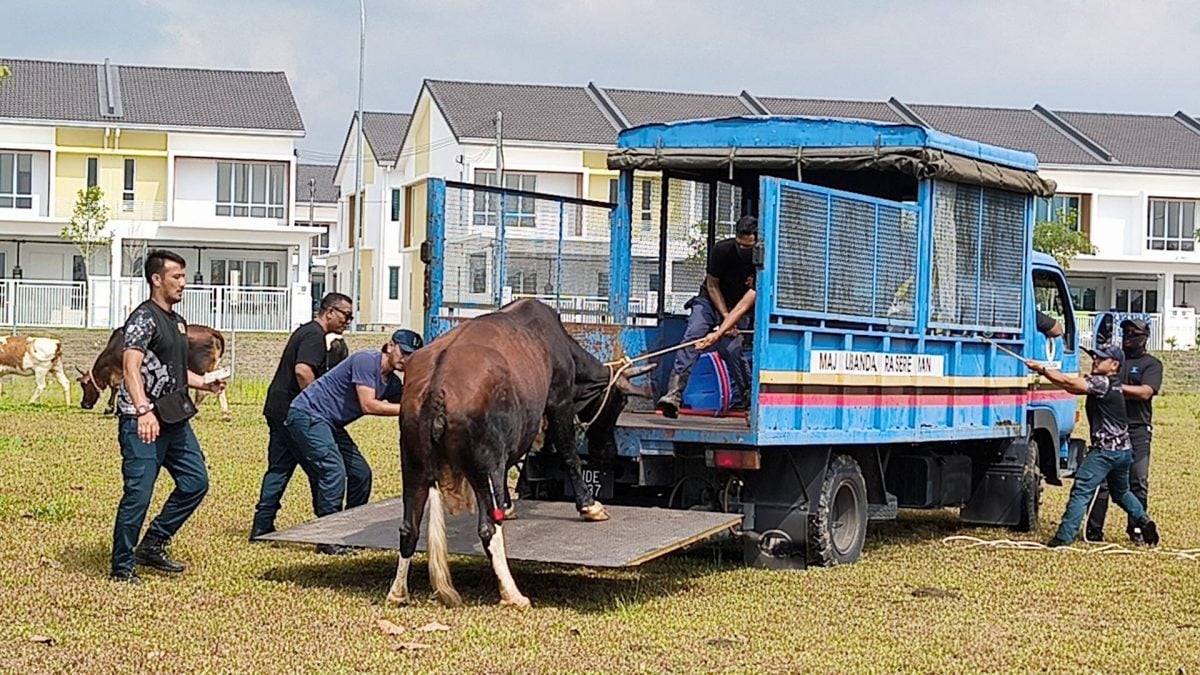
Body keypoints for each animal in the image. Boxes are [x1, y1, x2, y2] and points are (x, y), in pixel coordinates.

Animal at [78, 324, 234, 417]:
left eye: (84, 385)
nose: (83, 404)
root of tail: (212, 331)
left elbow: (116, 388)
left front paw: (113, 409)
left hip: (201, 368)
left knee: (202, 392)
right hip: (212, 368)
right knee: (219, 386)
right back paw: (226, 413)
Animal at [386, 296, 652, 607]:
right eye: (619, 401)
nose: (607, 451)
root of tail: (436, 389)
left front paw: (510, 505)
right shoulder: (559, 401)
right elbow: (568, 455)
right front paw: (590, 506)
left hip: (413, 466)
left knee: (409, 528)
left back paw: (397, 592)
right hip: (482, 468)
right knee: (488, 527)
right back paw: (512, 593)